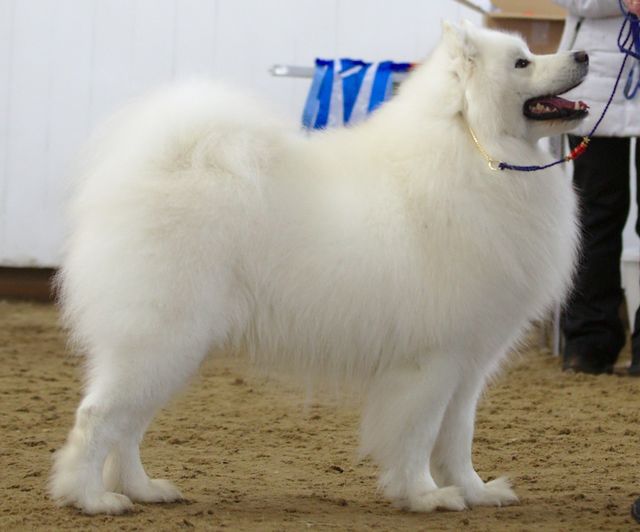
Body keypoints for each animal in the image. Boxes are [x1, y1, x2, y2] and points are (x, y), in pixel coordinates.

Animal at [50, 21, 592, 516]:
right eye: (522, 62)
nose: (584, 54)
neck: (476, 147)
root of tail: (157, 164)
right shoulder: (431, 363)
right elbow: (418, 436)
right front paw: (424, 495)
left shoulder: (468, 364)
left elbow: (457, 438)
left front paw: (475, 492)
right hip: (162, 340)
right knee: (96, 418)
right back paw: (93, 499)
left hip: (170, 351)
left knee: (127, 428)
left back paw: (142, 490)